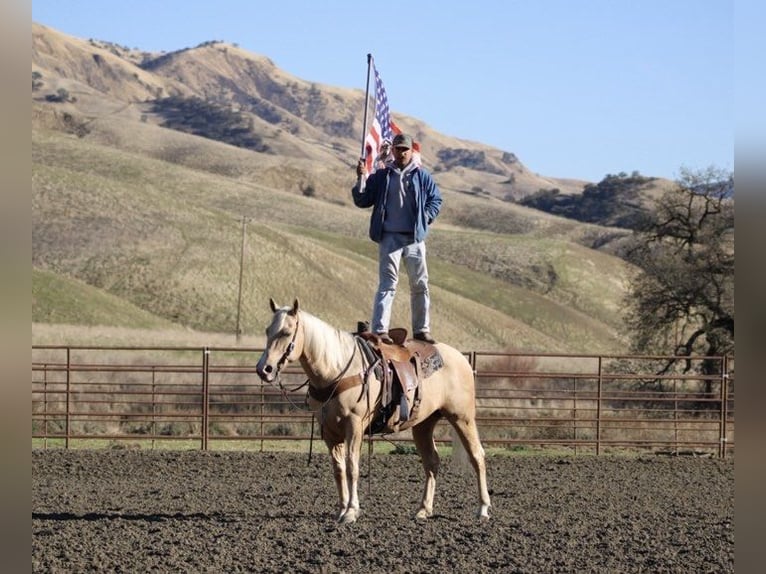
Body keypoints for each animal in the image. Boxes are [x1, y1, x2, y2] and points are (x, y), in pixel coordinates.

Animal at [254, 300, 492, 524]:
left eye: (286, 332)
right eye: (267, 330)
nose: (264, 369)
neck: (336, 368)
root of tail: (461, 359)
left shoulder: (354, 425)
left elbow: (352, 466)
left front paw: (351, 511)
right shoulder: (329, 431)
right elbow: (338, 469)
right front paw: (341, 509)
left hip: (462, 418)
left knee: (477, 456)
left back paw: (482, 509)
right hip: (423, 424)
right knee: (432, 462)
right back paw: (423, 510)